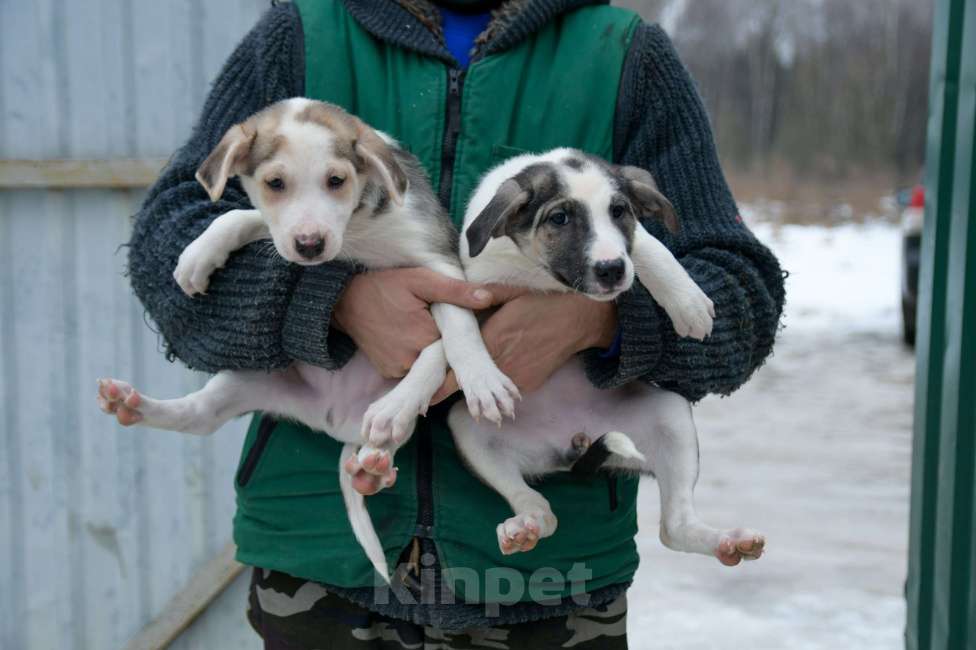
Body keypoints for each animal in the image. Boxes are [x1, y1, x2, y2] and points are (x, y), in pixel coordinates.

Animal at [100, 97, 524, 576]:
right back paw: (129, 403)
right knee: (199, 416)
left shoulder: (444, 268)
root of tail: (334, 418)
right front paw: (199, 254)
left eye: (336, 180)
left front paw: (480, 381)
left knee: (384, 436)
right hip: (245, 381)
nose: (309, 245)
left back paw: (384, 437)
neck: (356, 231)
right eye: (275, 183)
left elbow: (449, 334)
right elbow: (243, 213)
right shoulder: (279, 229)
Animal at [446, 149, 768, 564]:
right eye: (559, 218)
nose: (611, 270)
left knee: (674, 527)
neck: (540, 275)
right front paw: (481, 380)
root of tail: (569, 446)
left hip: (671, 415)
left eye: (619, 211)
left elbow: (646, 243)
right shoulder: (470, 284)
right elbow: (454, 320)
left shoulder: (630, 240)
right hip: (468, 430)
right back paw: (524, 527)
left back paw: (729, 540)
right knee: (538, 507)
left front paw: (688, 301)